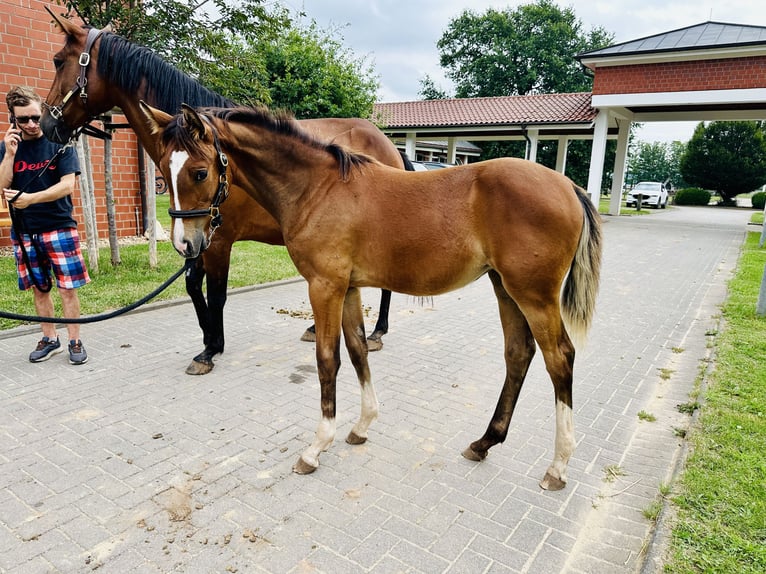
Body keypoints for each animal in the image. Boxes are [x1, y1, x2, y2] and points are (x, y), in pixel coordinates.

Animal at [39, 8, 405, 375]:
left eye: (58, 61)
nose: (46, 123)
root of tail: (387, 143)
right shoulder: (195, 237)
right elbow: (192, 286)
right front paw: (209, 338)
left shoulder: (218, 241)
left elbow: (216, 294)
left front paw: (210, 349)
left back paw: (377, 332)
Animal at [141, 103, 602, 491]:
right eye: (162, 167)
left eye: (200, 172)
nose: (185, 244)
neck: (318, 188)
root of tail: (570, 187)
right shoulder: (348, 287)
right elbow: (359, 349)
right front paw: (361, 427)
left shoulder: (324, 285)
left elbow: (327, 360)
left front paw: (316, 448)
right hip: (505, 287)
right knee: (518, 354)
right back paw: (485, 442)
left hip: (534, 295)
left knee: (560, 358)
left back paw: (557, 466)